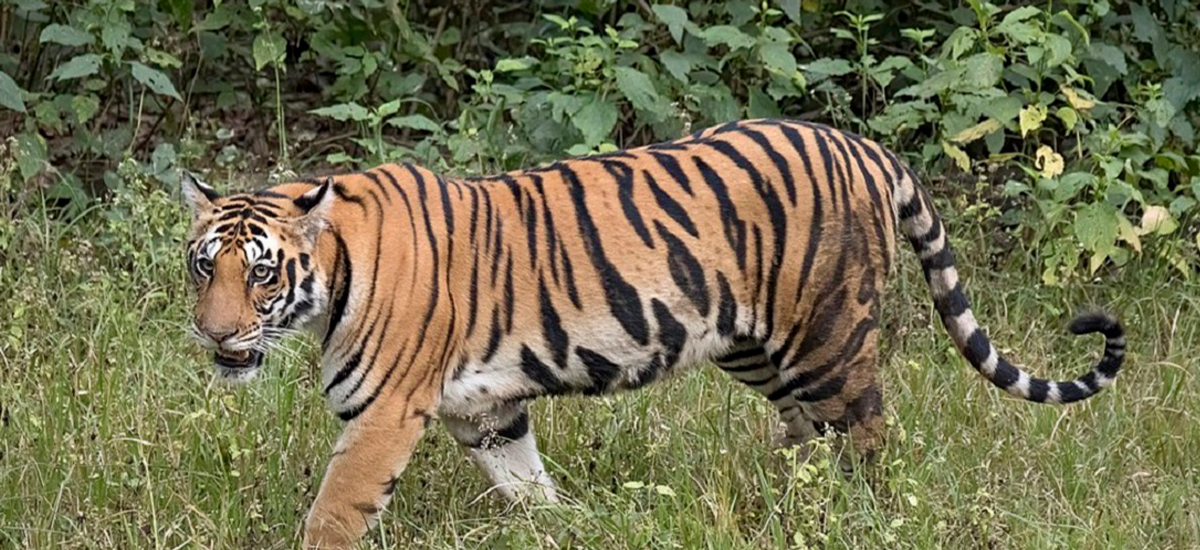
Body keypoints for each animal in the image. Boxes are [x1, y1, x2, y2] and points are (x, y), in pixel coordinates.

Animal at [181, 118, 1126, 548]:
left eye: (259, 274)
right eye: (202, 267)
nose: (214, 337)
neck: (332, 275)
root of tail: (862, 144)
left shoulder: (382, 415)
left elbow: (335, 511)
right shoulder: (483, 409)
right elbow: (526, 482)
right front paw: (564, 528)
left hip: (827, 339)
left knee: (870, 438)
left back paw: (862, 520)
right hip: (759, 350)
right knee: (807, 437)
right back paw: (783, 507)